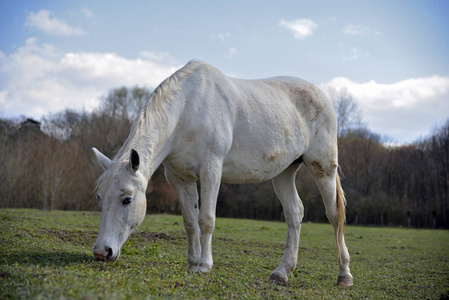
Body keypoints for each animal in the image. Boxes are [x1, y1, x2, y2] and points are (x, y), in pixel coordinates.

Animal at [93, 59, 354, 288]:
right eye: (99, 198)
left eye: (127, 199)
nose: (101, 252)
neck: (188, 109)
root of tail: (321, 95)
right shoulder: (179, 177)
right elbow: (190, 221)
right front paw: (192, 263)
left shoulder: (211, 169)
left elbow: (206, 219)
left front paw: (204, 266)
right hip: (284, 172)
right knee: (294, 213)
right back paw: (282, 273)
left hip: (323, 167)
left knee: (334, 216)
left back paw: (344, 275)